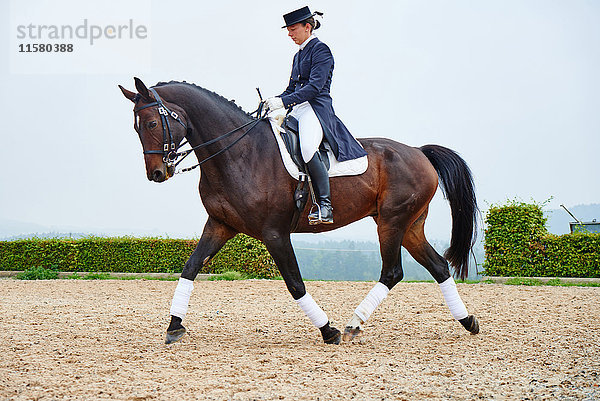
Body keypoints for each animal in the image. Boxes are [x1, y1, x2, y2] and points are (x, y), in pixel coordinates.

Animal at [119, 77, 480, 344]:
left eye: (151, 123)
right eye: (136, 127)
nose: (157, 173)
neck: (239, 153)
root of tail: (419, 152)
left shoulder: (275, 233)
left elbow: (295, 283)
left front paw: (328, 330)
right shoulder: (220, 224)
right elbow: (190, 267)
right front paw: (174, 326)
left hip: (392, 223)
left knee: (393, 272)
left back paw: (353, 325)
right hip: (409, 226)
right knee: (438, 267)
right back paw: (468, 322)